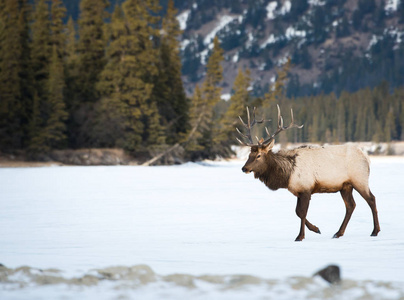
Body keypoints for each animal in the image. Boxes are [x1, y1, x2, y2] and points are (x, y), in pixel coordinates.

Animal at [235, 105, 380, 241]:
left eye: (259, 155)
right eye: (249, 154)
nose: (244, 168)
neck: (287, 175)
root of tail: (366, 157)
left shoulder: (306, 189)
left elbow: (301, 212)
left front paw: (300, 236)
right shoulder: (298, 190)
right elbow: (297, 212)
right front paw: (316, 229)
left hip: (359, 179)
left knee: (371, 199)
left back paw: (375, 231)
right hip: (345, 186)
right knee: (351, 205)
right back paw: (338, 233)